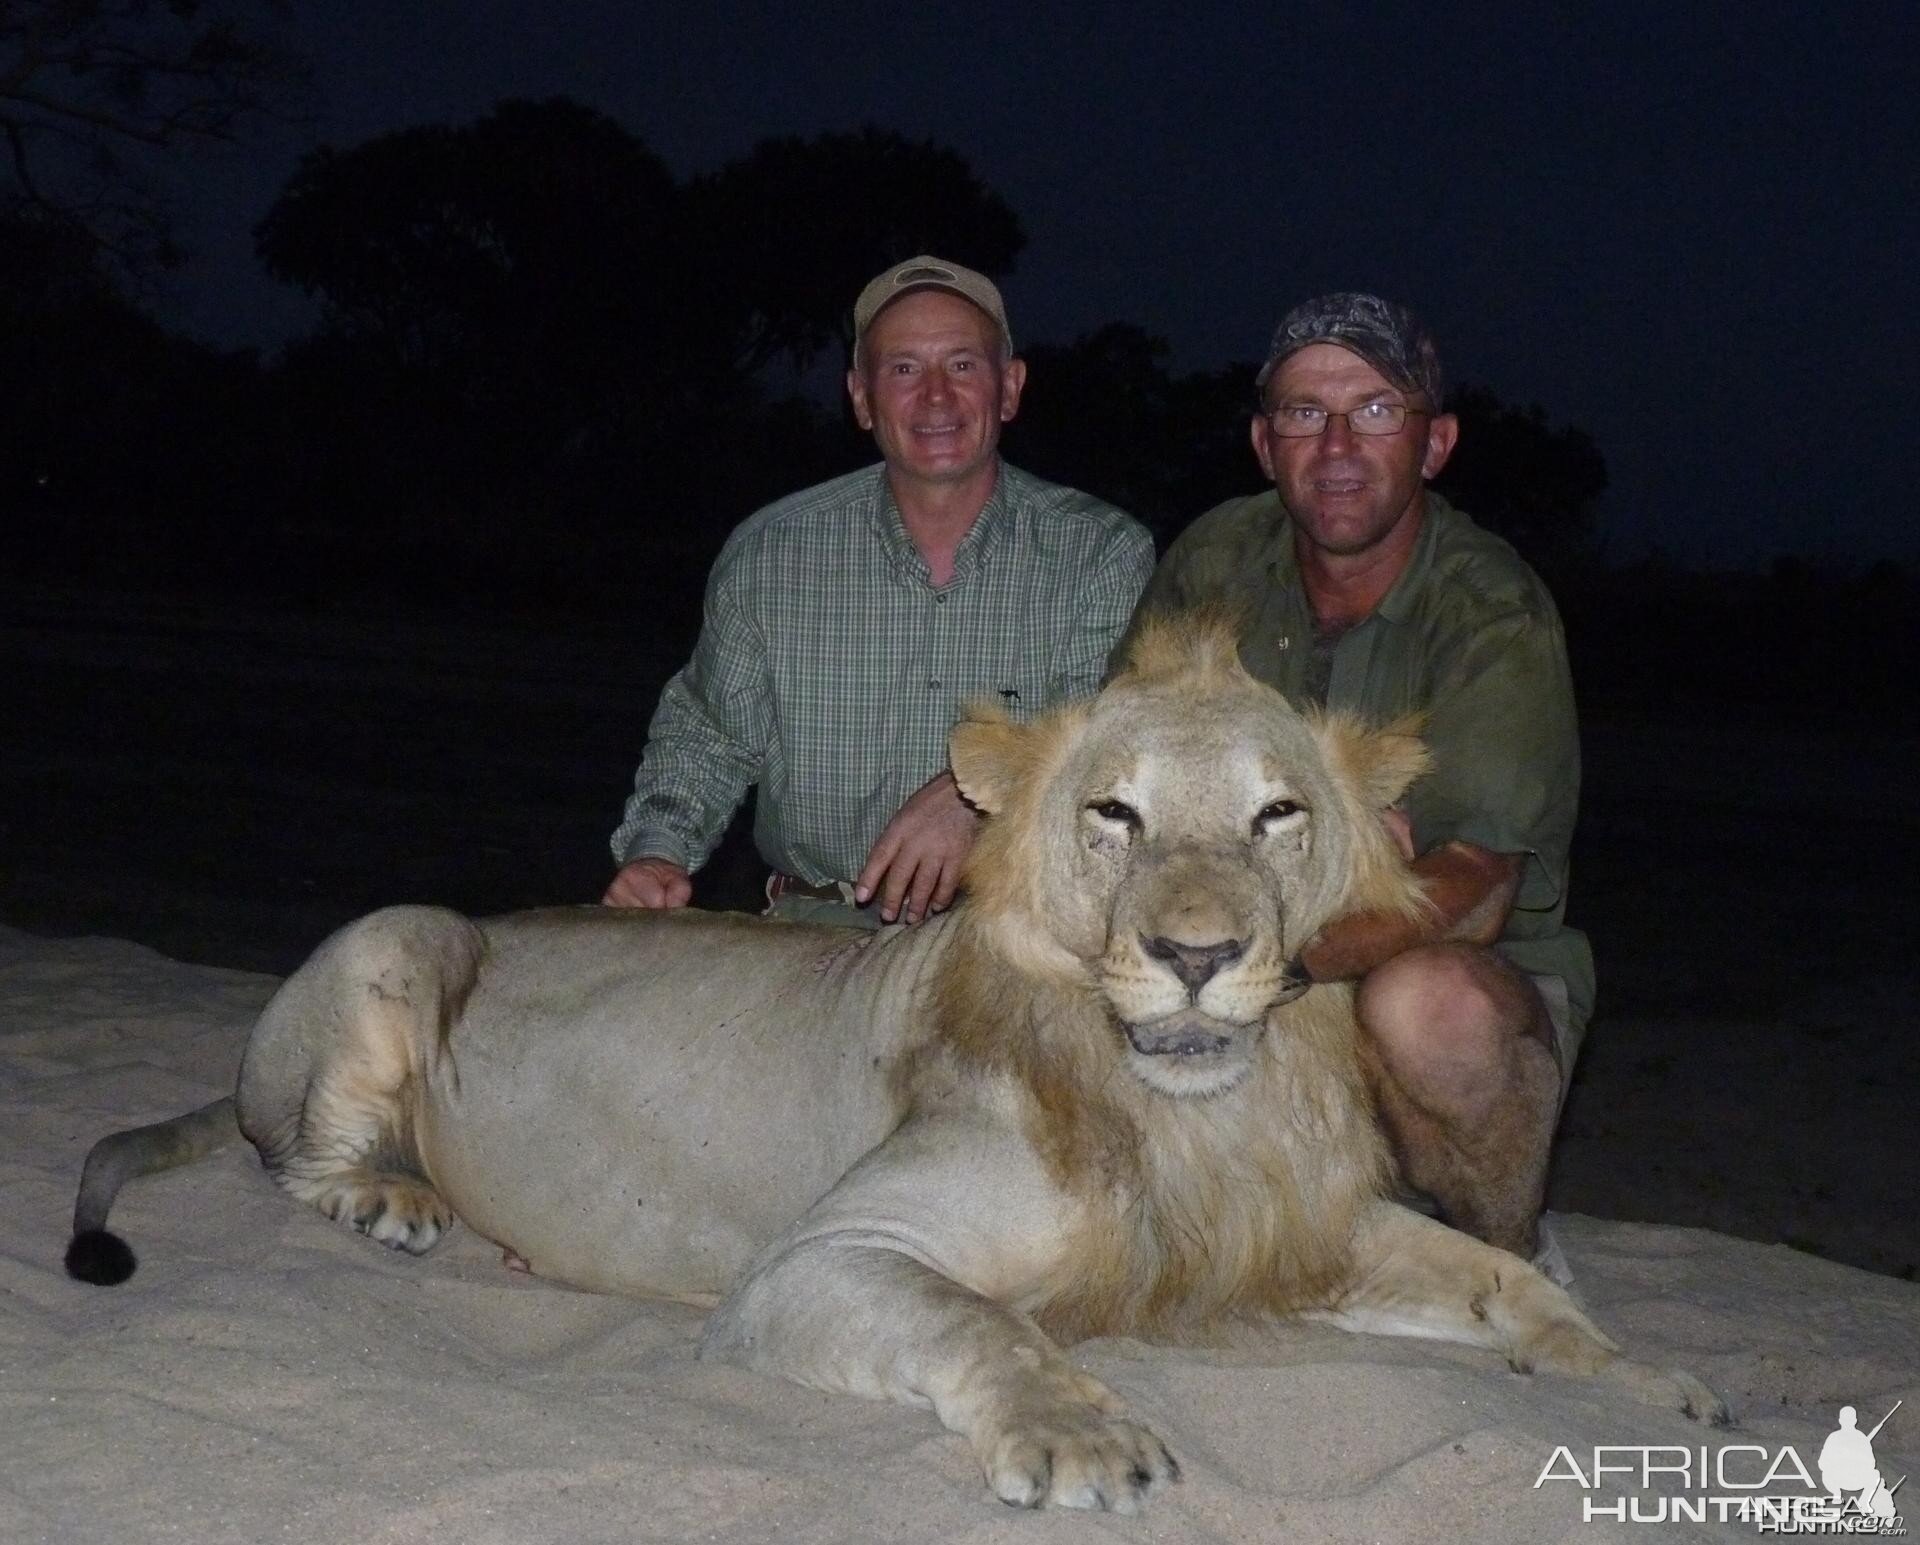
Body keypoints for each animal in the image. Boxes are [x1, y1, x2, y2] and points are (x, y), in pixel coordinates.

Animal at [67, 610, 1735, 1504]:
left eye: (1278, 814)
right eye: (1113, 812)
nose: (1198, 953)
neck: (1188, 1108)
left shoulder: (1291, 1231)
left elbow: (1498, 1278)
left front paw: (1653, 1383)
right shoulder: (815, 1259)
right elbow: (978, 1320)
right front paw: (1082, 1436)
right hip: (404, 934)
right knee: (293, 1148)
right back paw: (396, 1197)